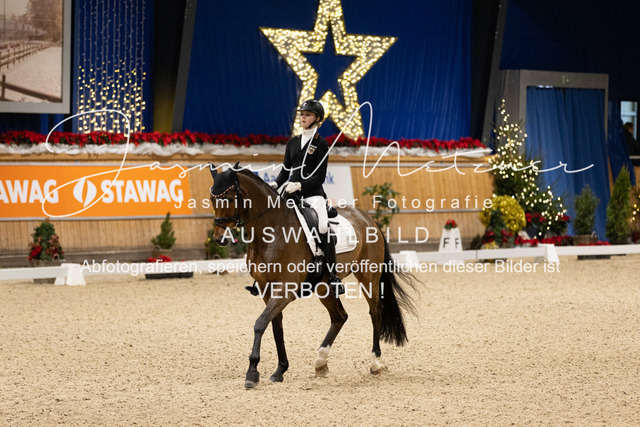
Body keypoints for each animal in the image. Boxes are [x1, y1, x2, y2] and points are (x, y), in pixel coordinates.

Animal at [208, 163, 418, 388]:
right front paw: (280, 370)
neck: (273, 230)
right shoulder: (266, 289)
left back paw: (375, 363)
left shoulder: (286, 289)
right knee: (340, 316)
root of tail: (367, 218)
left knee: (375, 312)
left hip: (368, 277)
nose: (219, 238)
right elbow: (275, 325)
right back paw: (320, 363)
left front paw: (252, 372)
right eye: (211, 199)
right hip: (324, 286)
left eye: (230, 198)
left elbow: (260, 323)